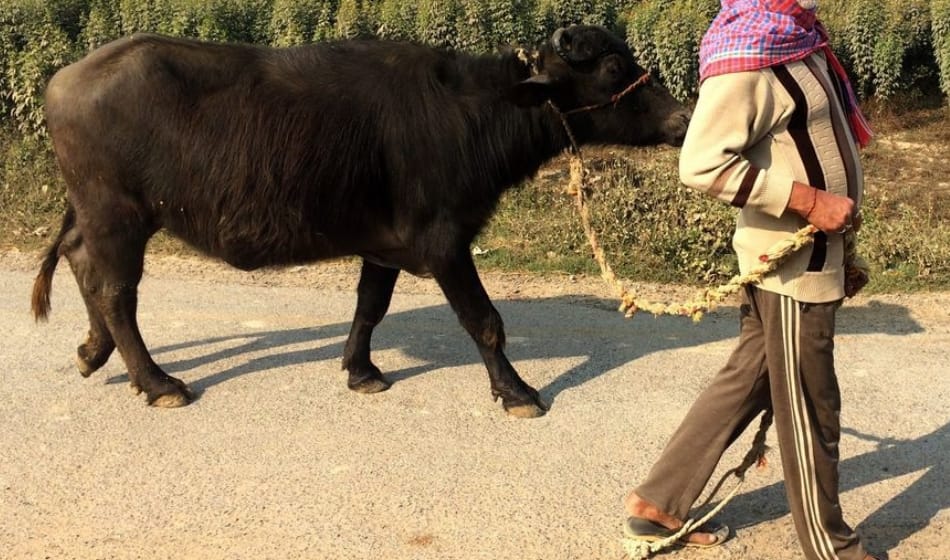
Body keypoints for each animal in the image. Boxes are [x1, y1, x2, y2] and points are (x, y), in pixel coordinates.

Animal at [32, 25, 690, 418]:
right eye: (612, 68)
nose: (683, 118)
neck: (468, 114)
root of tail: (64, 78)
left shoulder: (385, 245)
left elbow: (370, 306)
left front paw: (361, 370)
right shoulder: (444, 241)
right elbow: (484, 321)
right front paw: (518, 392)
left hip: (106, 217)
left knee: (80, 262)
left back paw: (93, 352)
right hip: (118, 215)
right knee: (115, 291)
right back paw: (158, 382)